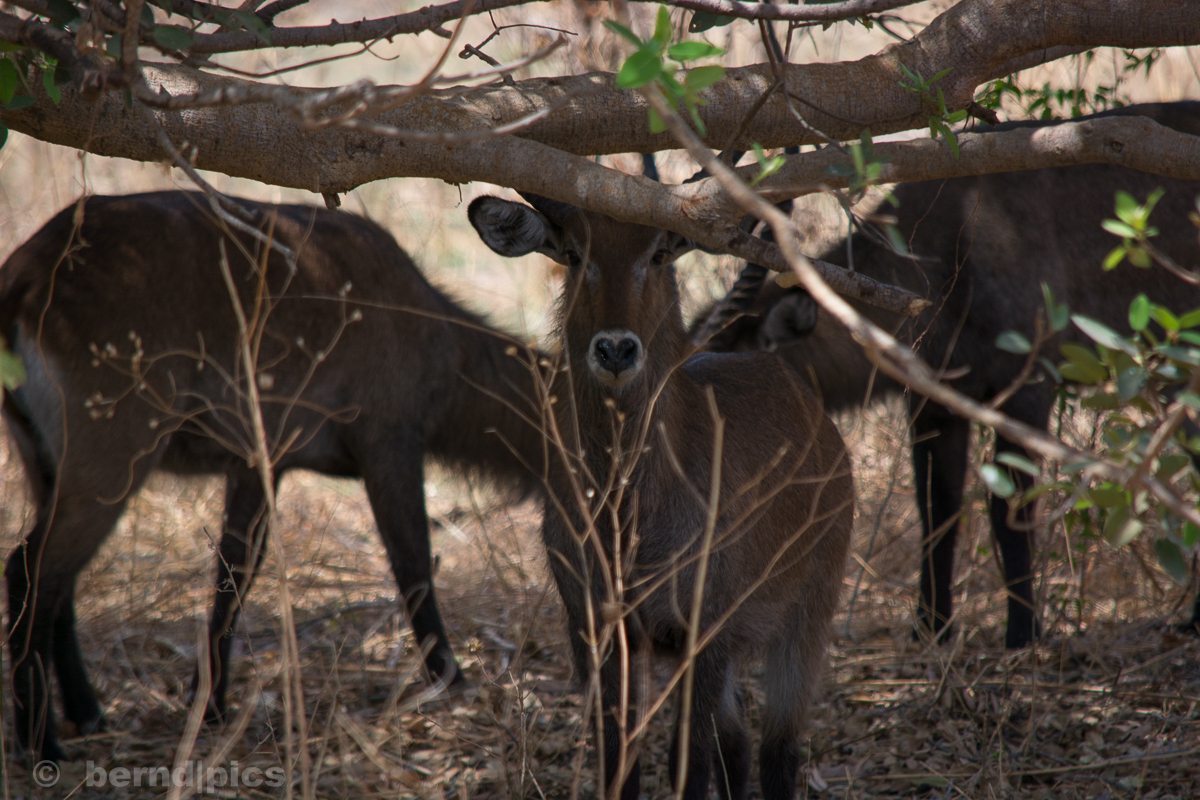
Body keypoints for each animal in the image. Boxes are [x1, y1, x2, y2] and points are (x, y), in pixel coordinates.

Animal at [0, 191, 549, 762]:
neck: (445, 345)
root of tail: (24, 278)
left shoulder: (259, 461)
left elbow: (234, 574)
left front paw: (211, 706)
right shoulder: (389, 438)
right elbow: (413, 562)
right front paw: (451, 681)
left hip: (42, 460)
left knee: (58, 580)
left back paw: (87, 714)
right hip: (113, 454)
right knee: (29, 568)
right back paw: (40, 742)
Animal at [469, 193, 854, 800]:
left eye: (658, 253)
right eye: (574, 253)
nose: (616, 349)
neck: (629, 518)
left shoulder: (704, 631)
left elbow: (687, 765)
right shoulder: (599, 631)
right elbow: (618, 762)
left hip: (806, 615)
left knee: (778, 748)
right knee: (737, 744)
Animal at [696, 101, 1200, 650]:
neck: (945, 255)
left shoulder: (1024, 390)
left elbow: (1010, 511)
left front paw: (1023, 634)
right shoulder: (933, 404)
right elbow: (937, 510)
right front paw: (930, 628)